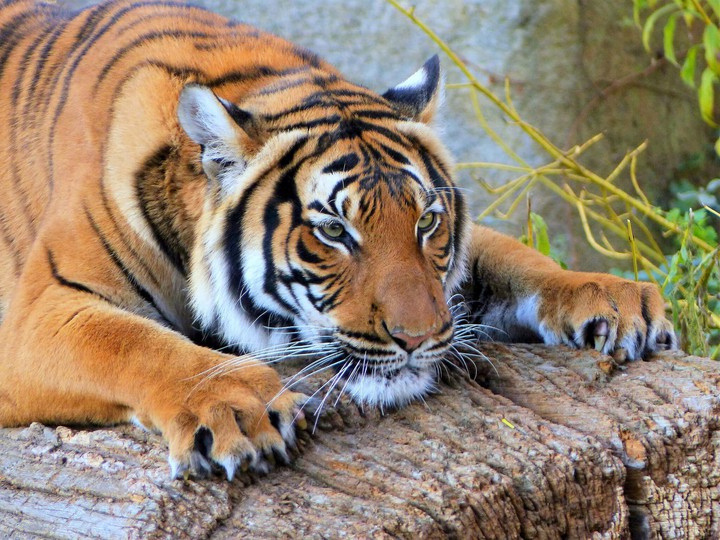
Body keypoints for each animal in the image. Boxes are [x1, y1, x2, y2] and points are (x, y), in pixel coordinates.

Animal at [0, 0, 677, 480]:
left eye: (426, 222)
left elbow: (510, 255)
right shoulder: (35, 314)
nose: (418, 340)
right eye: (333, 231)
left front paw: (615, 297)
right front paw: (237, 404)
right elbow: (137, 344)